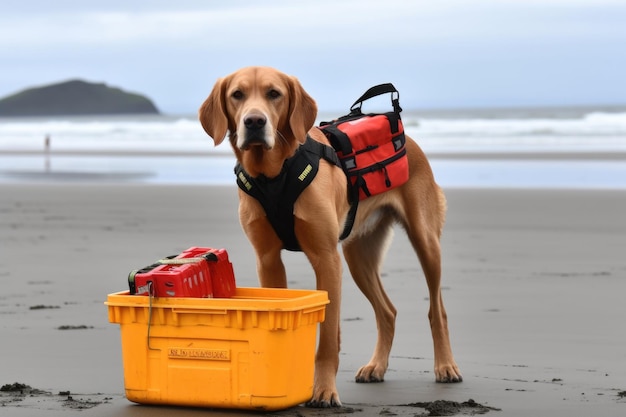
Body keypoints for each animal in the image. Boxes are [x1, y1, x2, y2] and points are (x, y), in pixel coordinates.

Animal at [197, 66, 460, 406]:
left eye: (274, 93)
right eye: (237, 95)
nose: (254, 122)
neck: (274, 174)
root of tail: (411, 140)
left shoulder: (326, 259)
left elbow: (328, 341)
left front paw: (323, 389)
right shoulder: (268, 260)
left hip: (424, 241)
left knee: (437, 310)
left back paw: (446, 366)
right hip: (357, 256)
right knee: (387, 311)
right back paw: (376, 366)